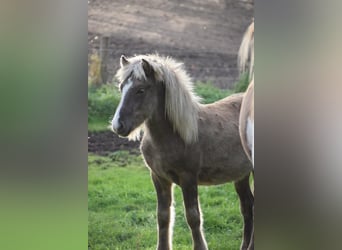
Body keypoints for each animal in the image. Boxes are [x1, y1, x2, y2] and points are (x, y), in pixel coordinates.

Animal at [112, 53, 254, 249]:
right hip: (241, 175)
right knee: (248, 207)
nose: (118, 126)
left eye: (140, 90)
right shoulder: (159, 177)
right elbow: (163, 216)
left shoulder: (188, 177)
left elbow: (193, 217)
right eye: (121, 88)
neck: (173, 136)